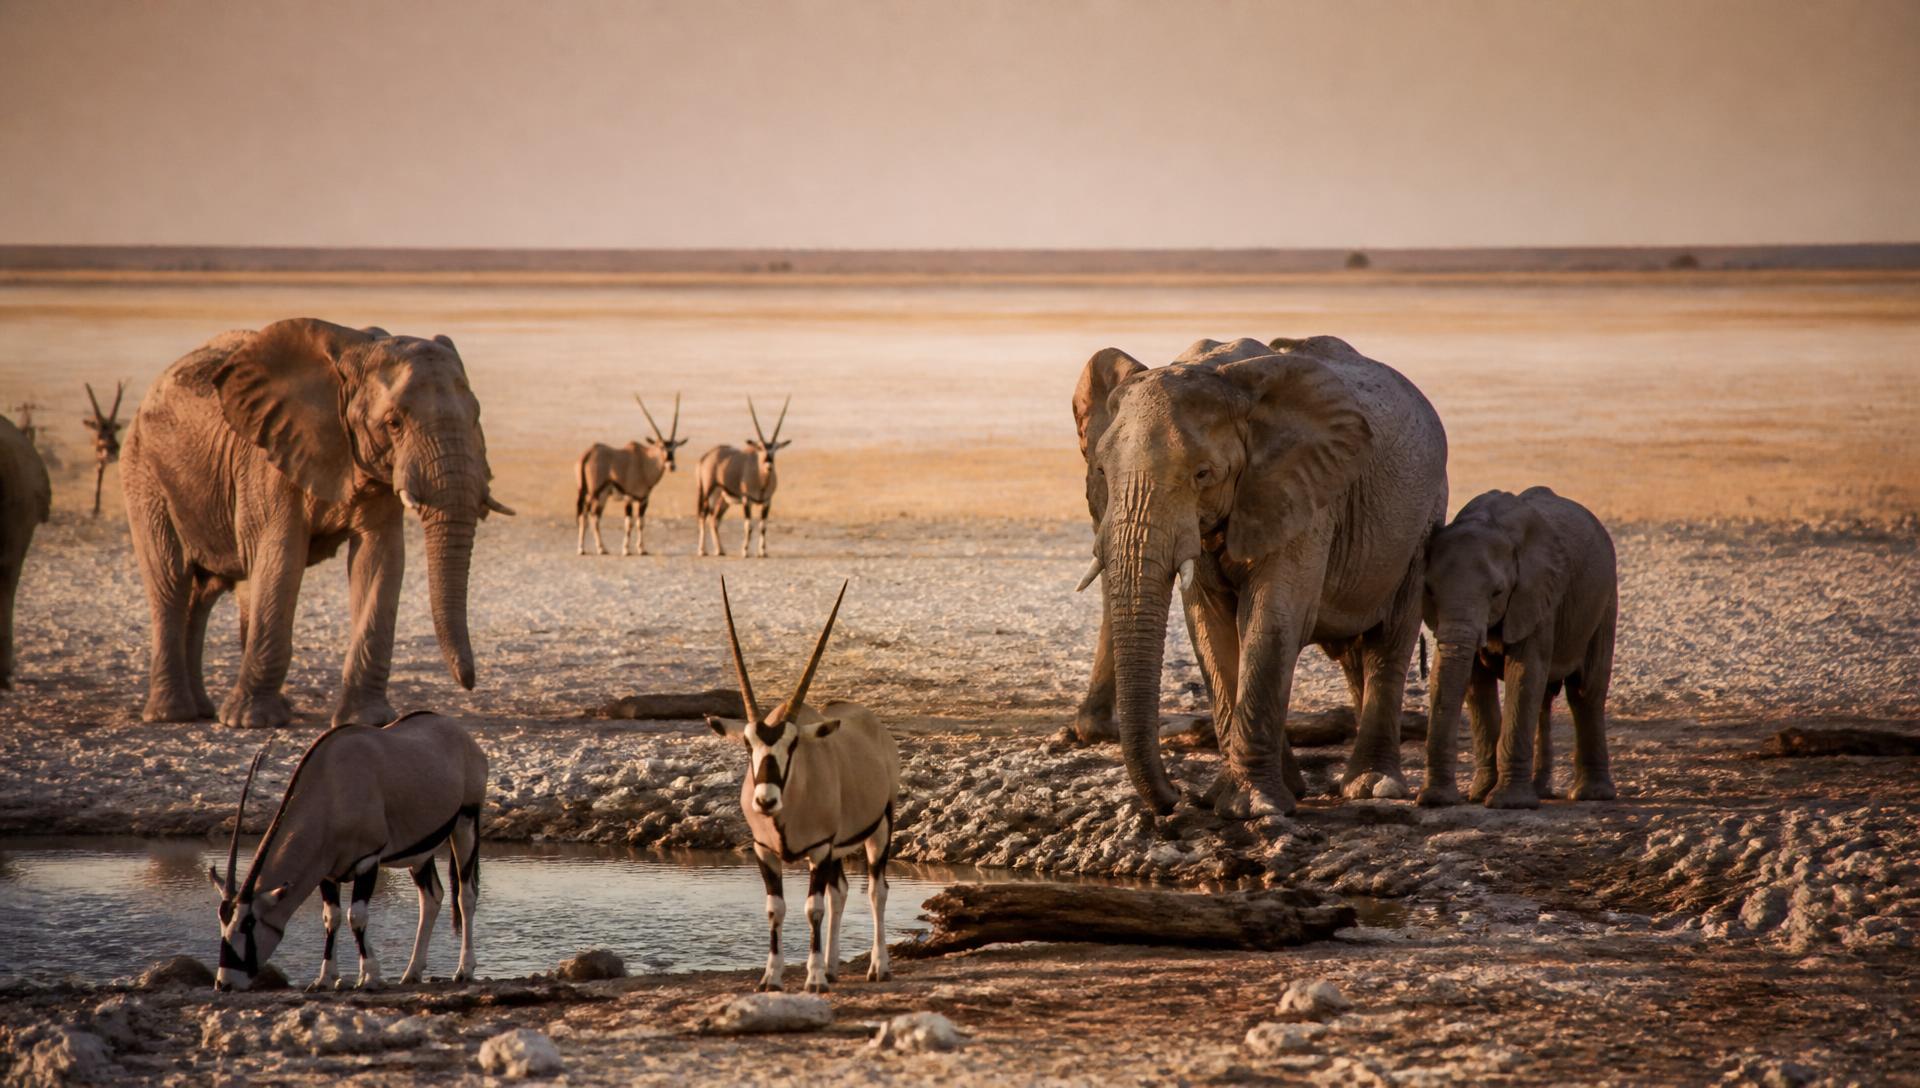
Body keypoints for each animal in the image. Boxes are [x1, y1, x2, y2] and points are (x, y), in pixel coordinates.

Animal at [121, 318, 512, 729]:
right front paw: (251, 722)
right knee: (171, 581)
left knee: (204, 593)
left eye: (476, 417)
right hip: (143, 473)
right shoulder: (268, 459)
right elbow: (281, 558)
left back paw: (205, 711)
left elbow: (380, 559)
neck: (354, 354)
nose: (469, 683)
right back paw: (172, 715)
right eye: (394, 423)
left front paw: (368, 721)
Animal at [1074, 336, 1448, 818]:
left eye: (1203, 474)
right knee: (1356, 653)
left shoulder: (1304, 492)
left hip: (1424, 521)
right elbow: (1209, 627)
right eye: (1102, 471)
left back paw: (1373, 786)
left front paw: (1255, 807)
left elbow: (1271, 619)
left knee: (1389, 639)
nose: (1177, 796)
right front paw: (1233, 797)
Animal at [1416, 486, 1617, 809]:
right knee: (1545, 698)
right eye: (1430, 590)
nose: (1432, 799)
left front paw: (1507, 803)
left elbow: (1524, 675)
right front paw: (1476, 795)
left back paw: (1591, 795)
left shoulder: (1537, 596)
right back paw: (1541, 790)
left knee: (1586, 692)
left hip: (1604, 601)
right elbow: (1474, 683)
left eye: (1497, 592)